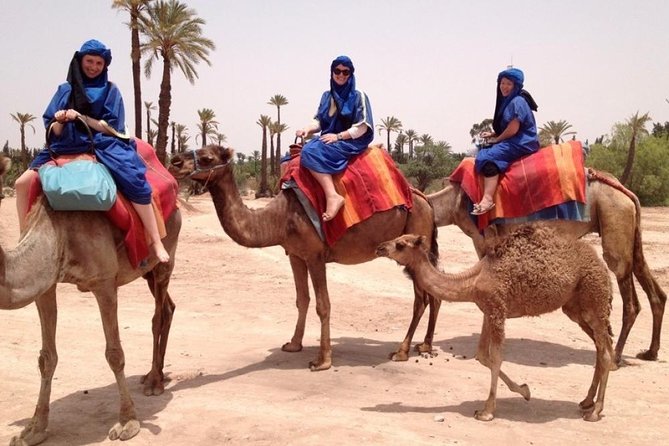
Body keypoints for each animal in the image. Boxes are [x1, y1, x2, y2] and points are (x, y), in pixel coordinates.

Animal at [1, 195, 181, 445]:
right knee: (168, 308)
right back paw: (157, 376)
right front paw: (33, 430)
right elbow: (46, 358)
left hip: (166, 255)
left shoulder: (104, 282)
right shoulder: (46, 285)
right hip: (147, 273)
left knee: (159, 313)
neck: (57, 232)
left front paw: (127, 422)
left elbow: (115, 355)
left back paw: (155, 381)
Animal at [168, 145, 439, 371]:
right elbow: (302, 299)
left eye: (207, 158)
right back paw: (424, 345)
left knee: (420, 299)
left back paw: (401, 351)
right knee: (431, 293)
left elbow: (323, 304)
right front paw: (293, 344)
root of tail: (424, 200)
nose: (174, 161)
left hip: (413, 241)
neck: (279, 218)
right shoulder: (295, 255)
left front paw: (322, 360)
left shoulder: (315, 255)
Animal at [376, 225, 614, 422]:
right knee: (600, 347)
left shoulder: (498, 310)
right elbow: (482, 355)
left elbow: (497, 357)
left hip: (594, 300)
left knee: (605, 353)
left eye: (400, 244)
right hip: (575, 308)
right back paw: (587, 401)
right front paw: (525, 390)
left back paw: (595, 411)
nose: (380, 247)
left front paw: (487, 411)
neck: (472, 280)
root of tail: (602, 265)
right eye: (397, 238)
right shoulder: (487, 311)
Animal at [428, 172, 666, 365]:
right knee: (650, 283)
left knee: (628, 292)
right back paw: (650, 352)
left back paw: (616, 355)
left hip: (614, 216)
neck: (452, 203)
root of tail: (626, 193)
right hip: (629, 228)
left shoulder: (484, 238)